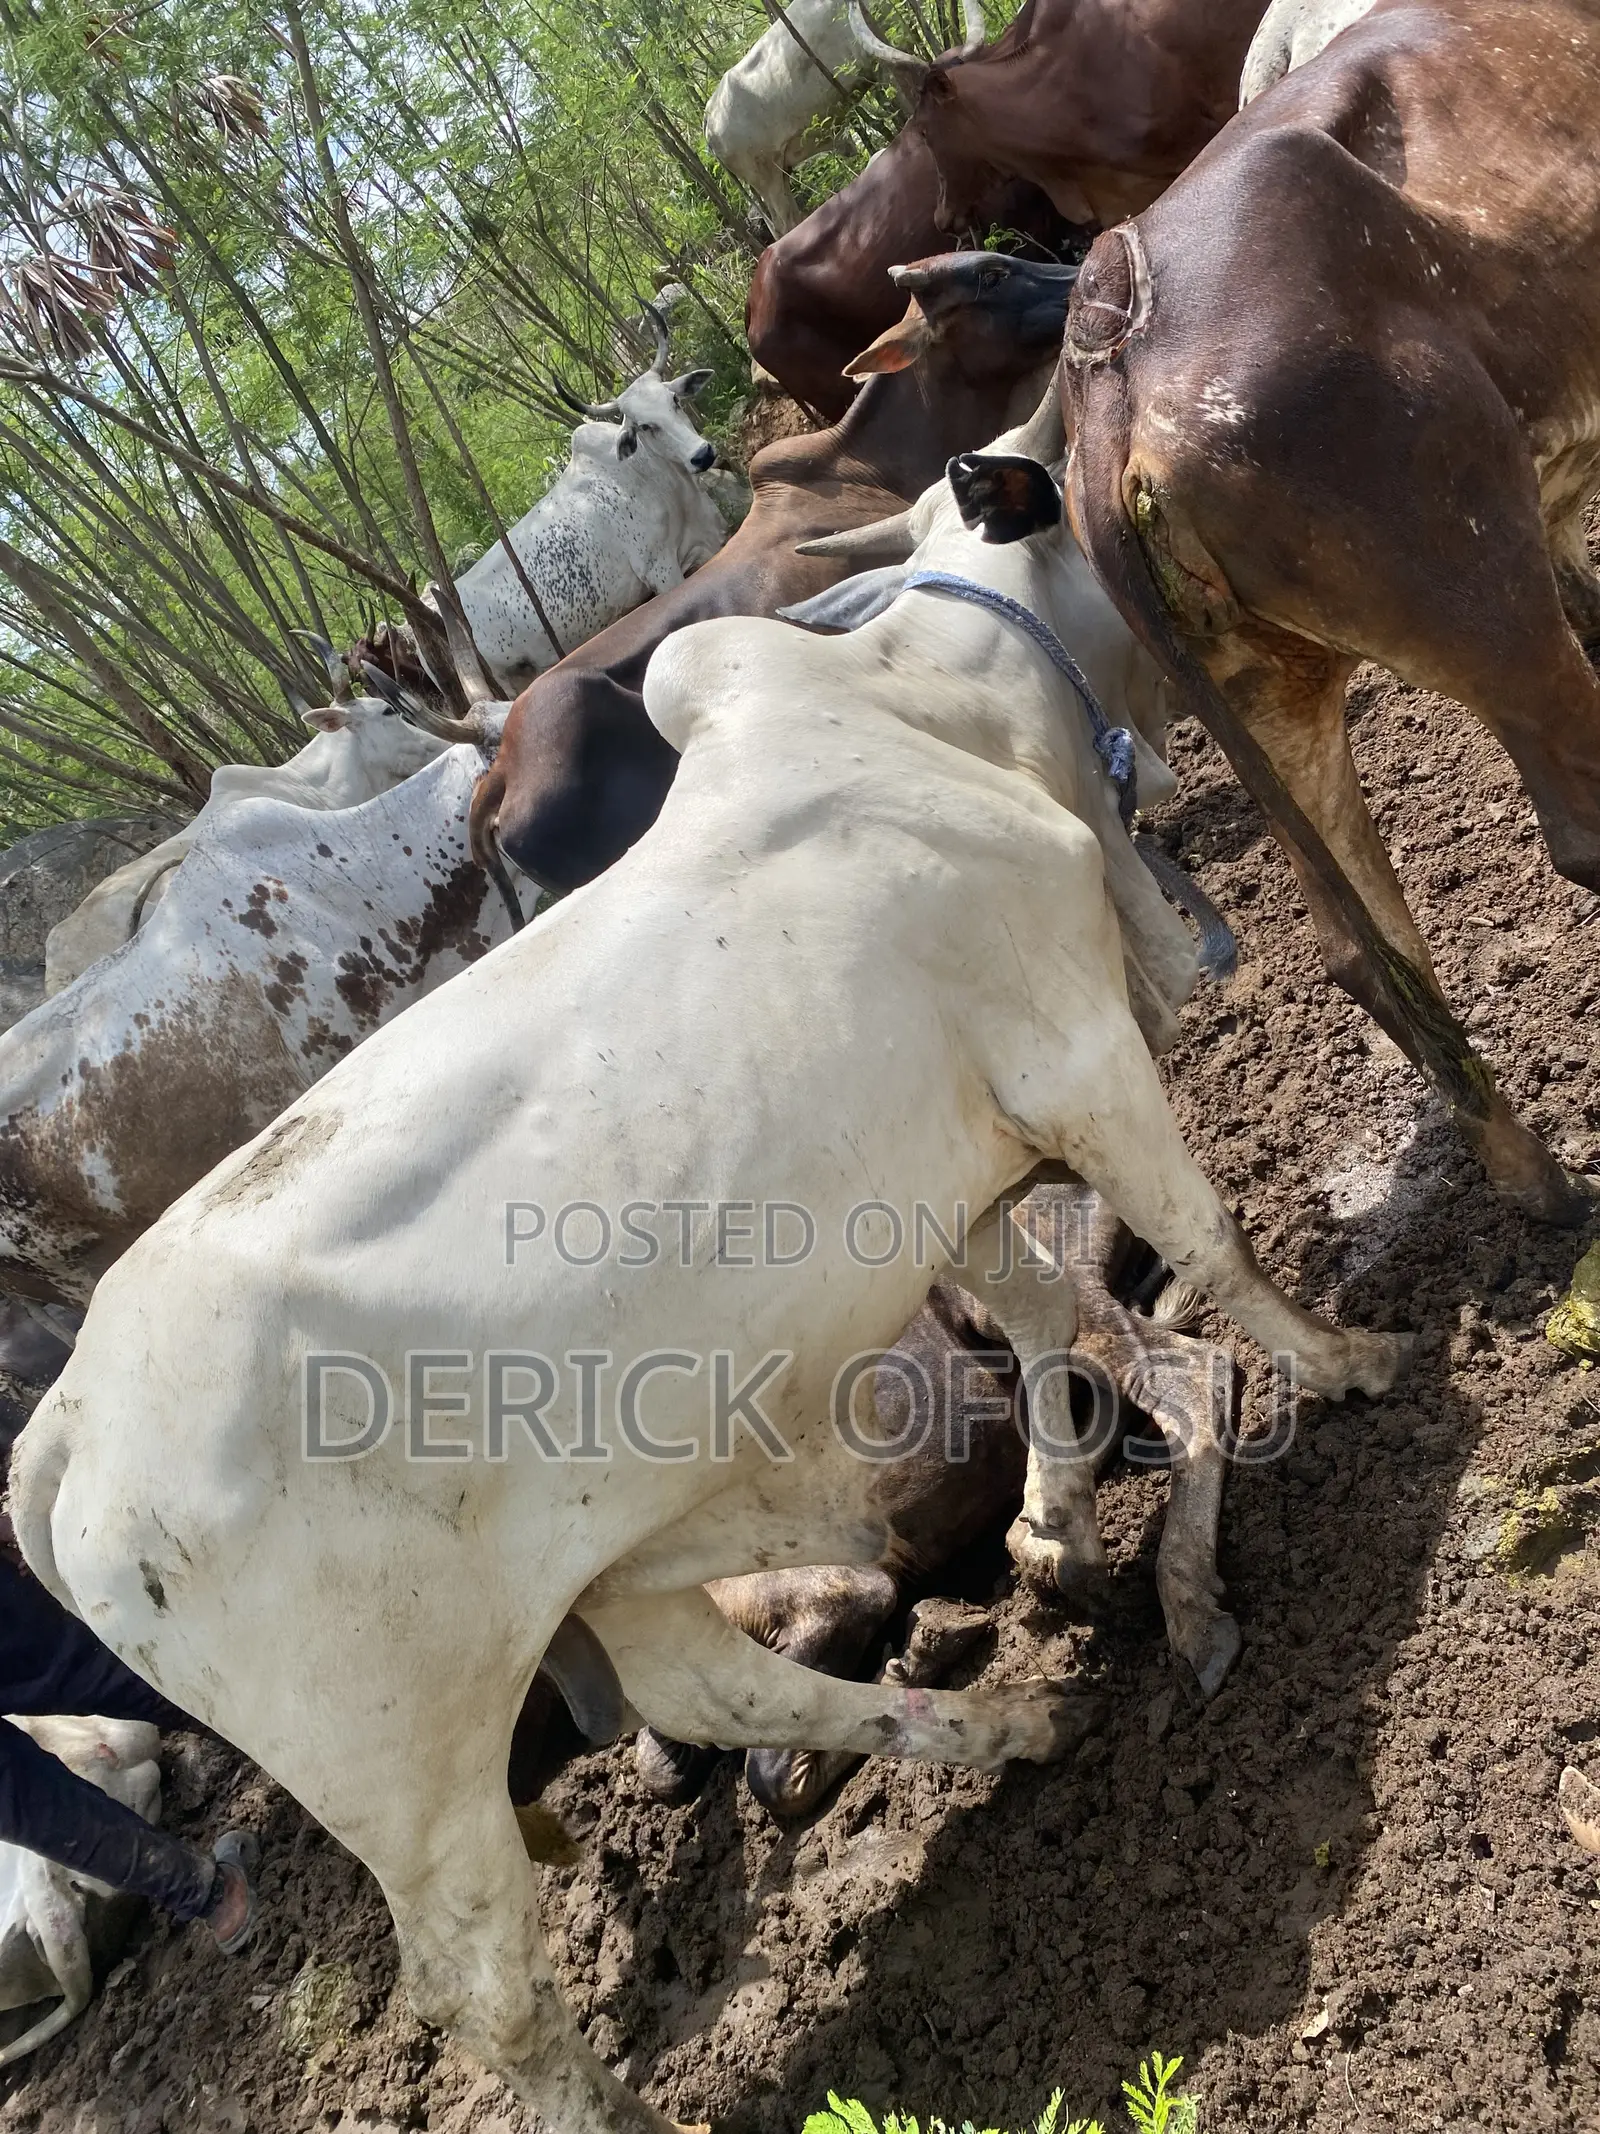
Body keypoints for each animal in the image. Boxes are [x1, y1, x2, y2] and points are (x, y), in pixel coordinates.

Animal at [435, 308, 725, 698]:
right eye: (644, 426)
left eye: (675, 401)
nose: (702, 455)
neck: (656, 479)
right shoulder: (662, 571)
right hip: (507, 680)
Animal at [1061, 0, 1600, 1225]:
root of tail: (1108, 372)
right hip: (1483, 604)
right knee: (1581, 822)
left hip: (1278, 697)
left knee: (1360, 948)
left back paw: (1537, 1180)